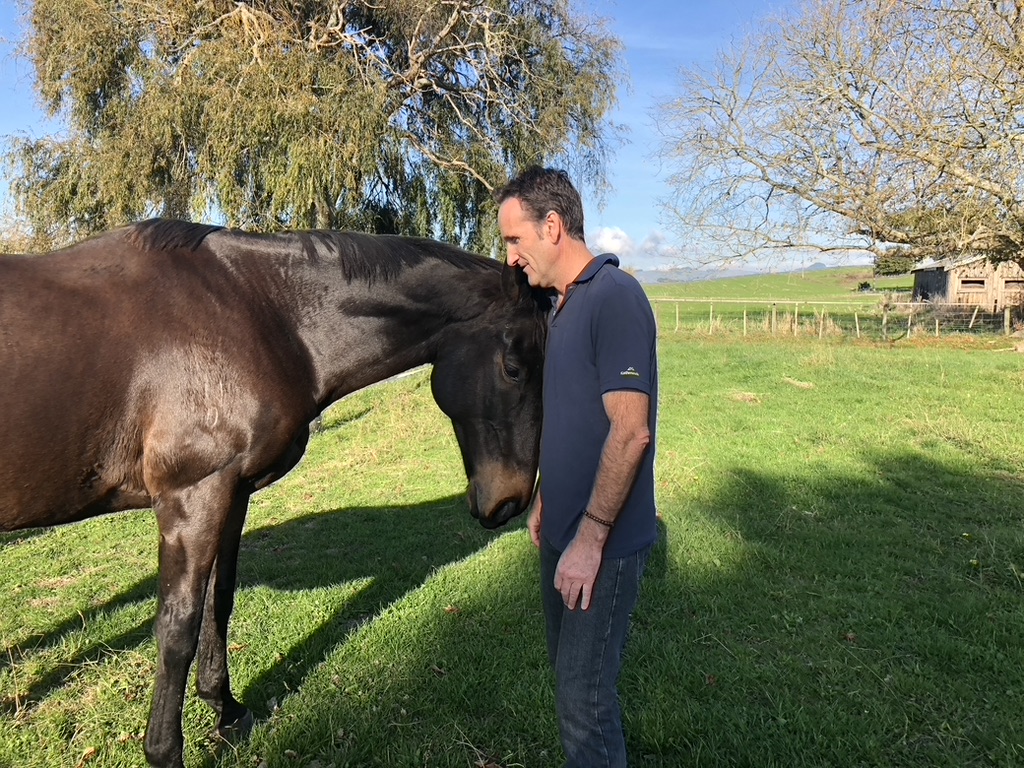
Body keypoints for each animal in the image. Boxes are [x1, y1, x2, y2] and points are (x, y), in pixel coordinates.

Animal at [0, 219, 548, 768]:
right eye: (514, 367)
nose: (512, 501)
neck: (258, 313)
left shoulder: (231, 493)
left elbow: (219, 601)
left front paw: (225, 709)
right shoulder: (192, 497)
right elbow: (178, 627)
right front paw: (165, 750)